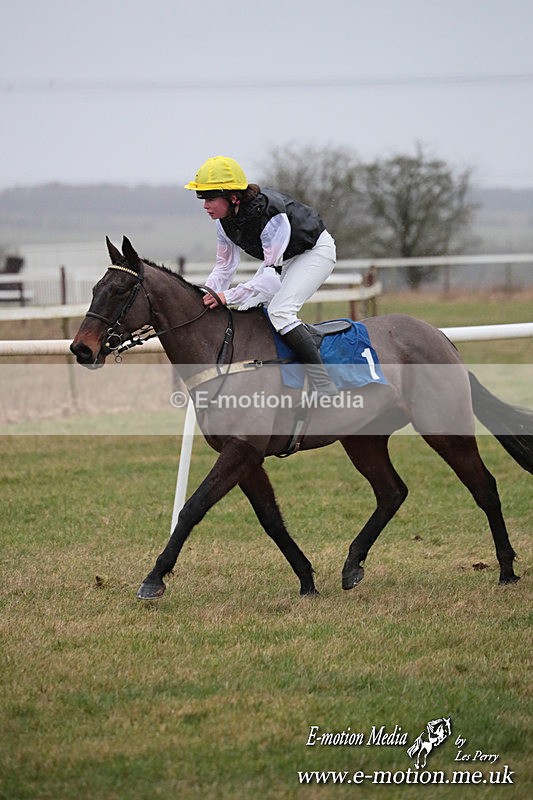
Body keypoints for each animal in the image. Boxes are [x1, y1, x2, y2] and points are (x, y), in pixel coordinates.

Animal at [70, 236, 533, 600]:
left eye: (120, 290)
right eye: (95, 288)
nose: (81, 349)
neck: (224, 352)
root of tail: (442, 338)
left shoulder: (241, 450)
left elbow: (193, 507)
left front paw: (154, 577)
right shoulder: (246, 456)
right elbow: (271, 519)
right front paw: (307, 580)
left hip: (443, 428)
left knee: (484, 487)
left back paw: (507, 570)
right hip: (362, 438)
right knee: (392, 492)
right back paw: (352, 565)